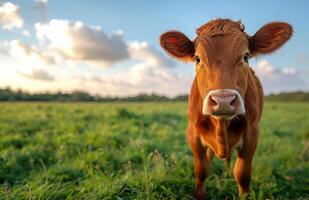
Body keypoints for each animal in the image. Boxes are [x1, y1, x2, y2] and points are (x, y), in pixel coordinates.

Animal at [160, 18, 292, 198]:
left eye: (246, 56)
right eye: (197, 58)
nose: (223, 100)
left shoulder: (252, 134)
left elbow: (242, 174)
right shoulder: (193, 134)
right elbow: (201, 171)